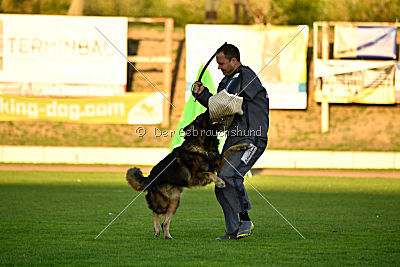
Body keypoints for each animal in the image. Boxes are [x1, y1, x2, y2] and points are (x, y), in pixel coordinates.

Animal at [126, 111, 248, 241]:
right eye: (201, 117)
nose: (207, 110)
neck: (203, 146)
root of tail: (149, 177)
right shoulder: (196, 176)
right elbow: (209, 173)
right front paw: (219, 182)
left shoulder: (218, 163)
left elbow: (229, 150)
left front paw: (243, 145)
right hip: (162, 201)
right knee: (155, 212)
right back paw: (157, 229)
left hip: (174, 202)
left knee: (164, 221)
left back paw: (167, 235)